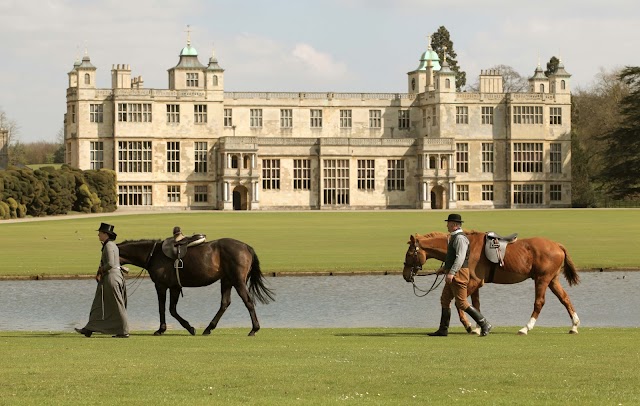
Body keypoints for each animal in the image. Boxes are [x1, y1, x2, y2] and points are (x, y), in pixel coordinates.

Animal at [119, 238, 274, 336]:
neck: (154, 254)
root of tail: (246, 246)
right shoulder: (175, 287)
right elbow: (172, 309)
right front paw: (189, 327)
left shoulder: (161, 286)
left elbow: (163, 308)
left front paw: (161, 329)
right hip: (227, 280)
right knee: (225, 303)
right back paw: (209, 328)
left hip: (238, 281)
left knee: (248, 301)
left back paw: (254, 328)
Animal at [404, 230, 580, 334]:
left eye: (409, 254)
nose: (406, 275)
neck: (467, 248)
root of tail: (557, 245)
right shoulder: (474, 284)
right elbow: (475, 304)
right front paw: (478, 326)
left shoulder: (474, 282)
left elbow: (460, 303)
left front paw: (470, 326)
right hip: (552, 280)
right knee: (565, 299)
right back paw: (574, 325)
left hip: (542, 279)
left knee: (539, 302)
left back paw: (526, 327)